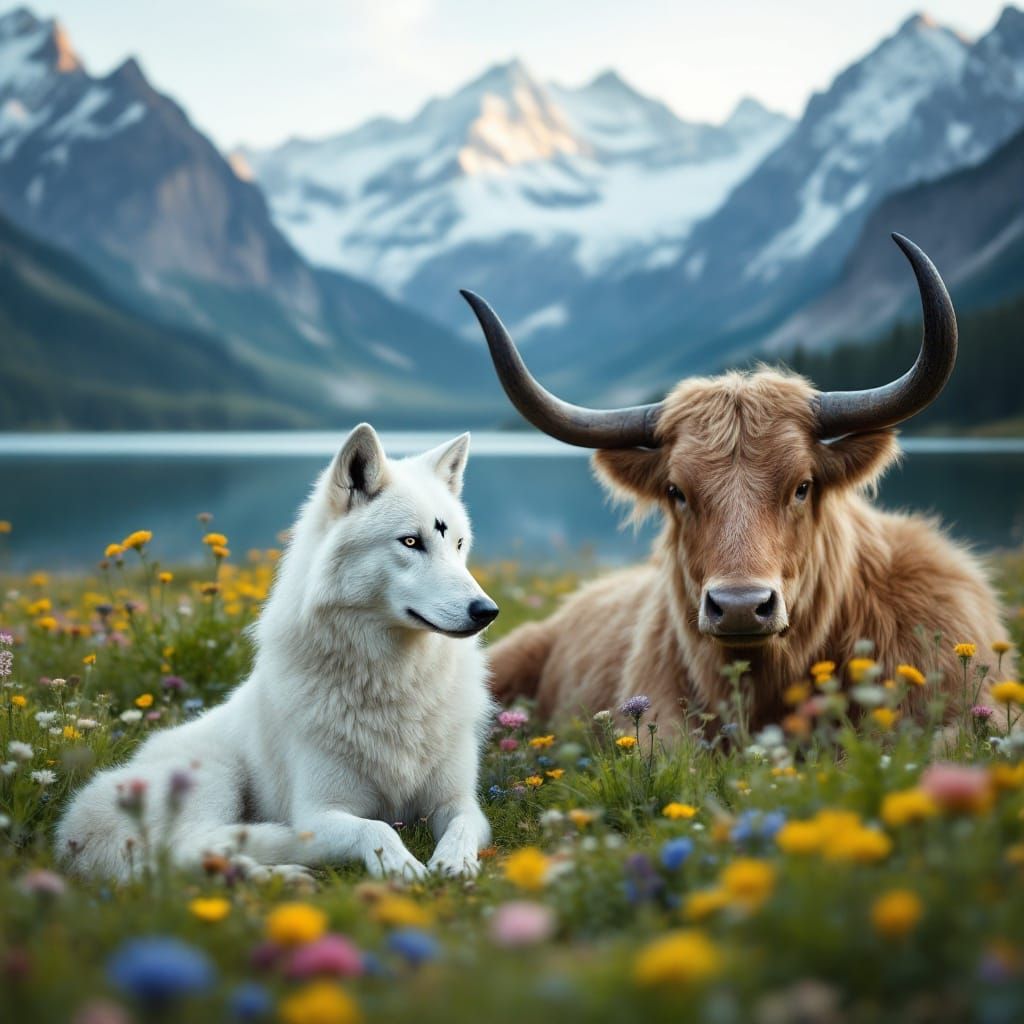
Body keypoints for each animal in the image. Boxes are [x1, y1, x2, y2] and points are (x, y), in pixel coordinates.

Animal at [57, 425, 499, 881]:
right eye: (411, 542)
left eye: (459, 545)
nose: (487, 611)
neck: (394, 681)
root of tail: (77, 828)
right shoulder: (320, 811)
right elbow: (376, 828)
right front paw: (402, 867)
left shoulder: (458, 802)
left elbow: (463, 825)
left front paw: (455, 861)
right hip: (216, 778)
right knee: (183, 852)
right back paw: (280, 871)